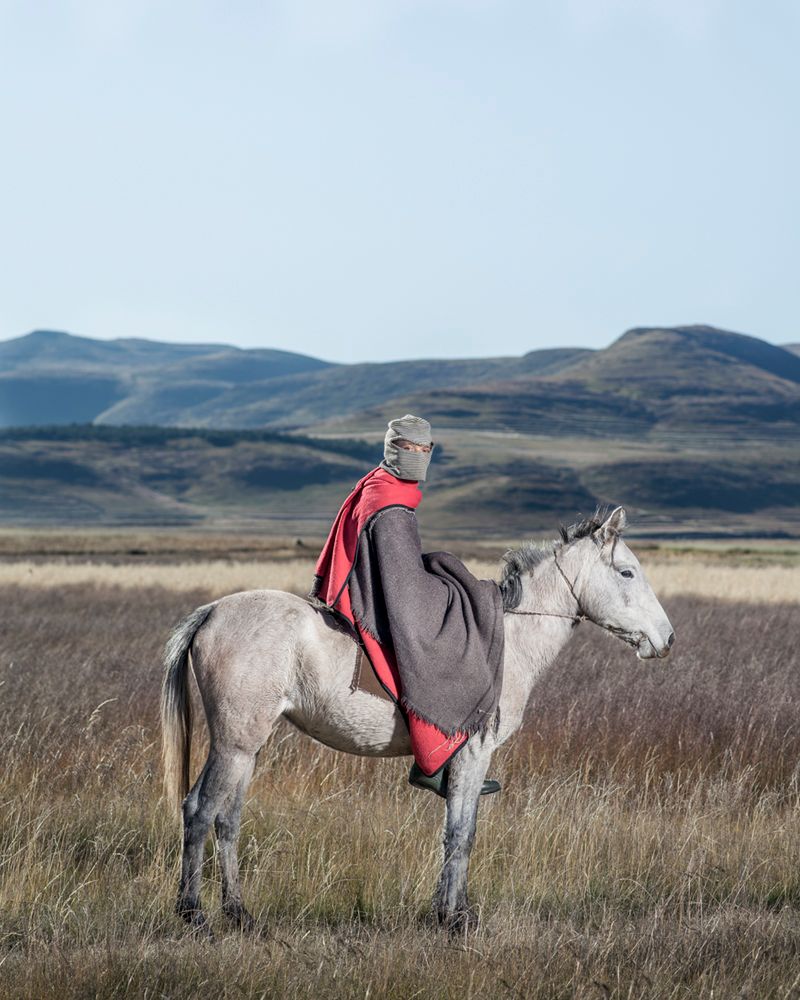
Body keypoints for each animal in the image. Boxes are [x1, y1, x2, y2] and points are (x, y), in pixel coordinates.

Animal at [162, 508, 676, 936]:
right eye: (627, 572)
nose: (666, 639)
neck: (510, 638)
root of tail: (212, 612)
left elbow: (457, 829)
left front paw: (447, 911)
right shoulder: (473, 753)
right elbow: (461, 834)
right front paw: (454, 919)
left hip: (248, 748)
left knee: (227, 819)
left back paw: (240, 915)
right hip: (234, 745)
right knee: (200, 810)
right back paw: (194, 916)